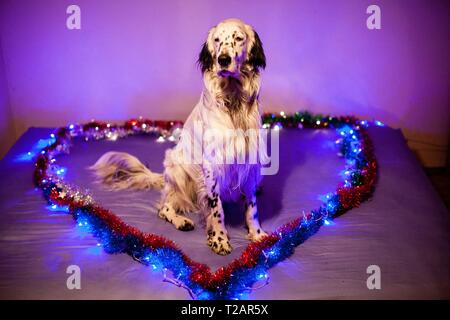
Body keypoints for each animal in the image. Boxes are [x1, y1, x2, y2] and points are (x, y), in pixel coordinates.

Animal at [90, 19, 268, 255]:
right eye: (217, 41)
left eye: (238, 38)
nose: (223, 60)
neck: (233, 101)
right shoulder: (211, 165)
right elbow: (216, 209)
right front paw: (219, 238)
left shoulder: (250, 160)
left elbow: (252, 207)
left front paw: (257, 234)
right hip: (177, 171)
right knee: (165, 207)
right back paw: (181, 220)